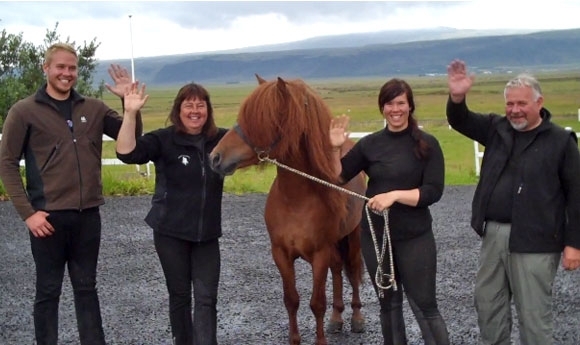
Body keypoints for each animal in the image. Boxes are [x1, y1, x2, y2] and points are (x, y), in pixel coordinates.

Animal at [210, 76, 368, 344]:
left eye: (262, 119)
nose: (215, 157)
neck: (296, 200)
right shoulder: (281, 254)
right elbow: (291, 300)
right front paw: (295, 339)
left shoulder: (320, 254)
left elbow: (317, 303)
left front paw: (320, 340)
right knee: (338, 270)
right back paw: (336, 318)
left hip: (353, 234)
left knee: (354, 268)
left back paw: (356, 318)